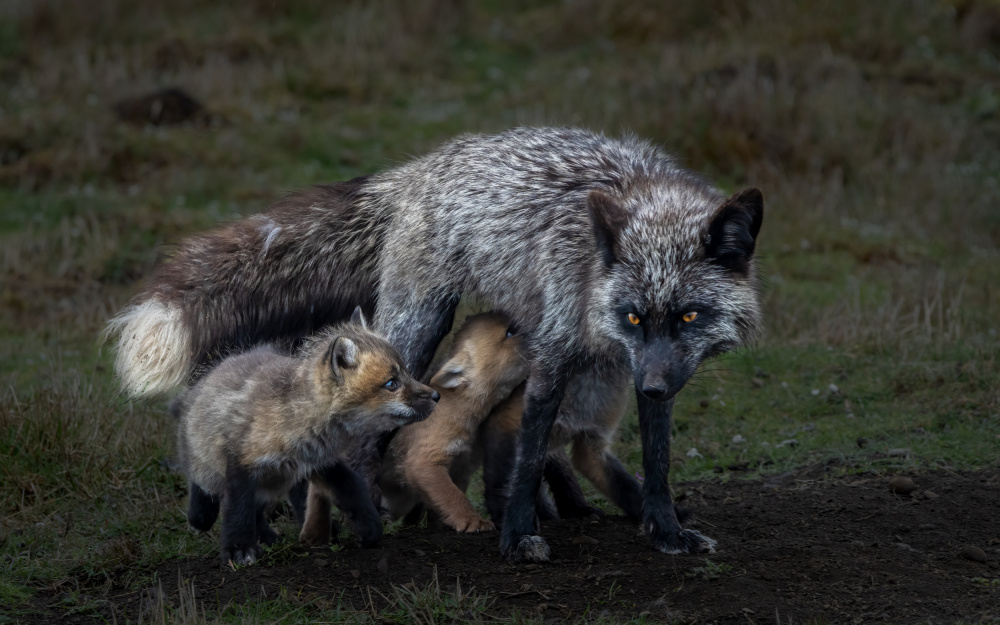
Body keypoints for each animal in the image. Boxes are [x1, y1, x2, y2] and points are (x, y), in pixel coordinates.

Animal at [109, 125, 760, 560]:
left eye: (689, 316)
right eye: (632, 316)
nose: (650, 384)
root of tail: (419, 168)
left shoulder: (654, 375)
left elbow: (656, 462)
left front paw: (666, 530)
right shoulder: (552, 354)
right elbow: (526, 456)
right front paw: (517, 535)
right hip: (416, 326)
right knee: (345, 430)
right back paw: (341, 523)